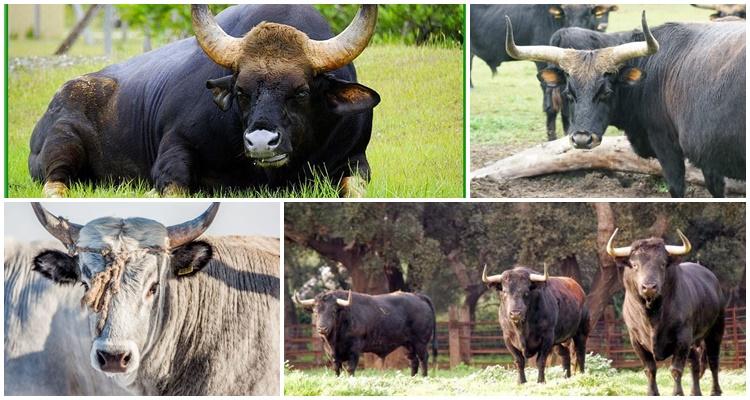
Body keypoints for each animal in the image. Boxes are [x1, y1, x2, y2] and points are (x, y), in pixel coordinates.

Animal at [29, 3, 382, 197]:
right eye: (241, 91)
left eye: (302, 92)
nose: (261, 142)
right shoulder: (174, 148)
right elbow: (174, 187)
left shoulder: (355, 159)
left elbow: (355, 190)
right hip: (62, 143)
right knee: (55, 182)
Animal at [292, 290, 438, 376]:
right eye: (315, 311)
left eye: (333, 311)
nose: (322, 328)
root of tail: (418, 296)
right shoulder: (333, 355)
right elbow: (337, 369)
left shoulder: (354, 350)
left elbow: (350, 369)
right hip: (408, 344)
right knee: (413, 361)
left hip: (420, 342)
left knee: (423, 358)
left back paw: (423, 378)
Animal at [506, 13, 748, 198]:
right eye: (569, 93)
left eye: (606, 92)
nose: (582, 139)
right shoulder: (709, 155)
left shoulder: (666, 144)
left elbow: (677, 187)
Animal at [612, 230, 728, 396]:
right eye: (634, 265)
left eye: (662, 264)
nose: (649, 287)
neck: (652, 316)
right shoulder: (636, 340)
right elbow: (650, 369)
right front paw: (652, 392)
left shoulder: (682, 337)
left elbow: (676, 369)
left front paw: (677, 393)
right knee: (695, 362)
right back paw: (695, 392)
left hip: (716, 330)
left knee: (713, 361)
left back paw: (715, 391)